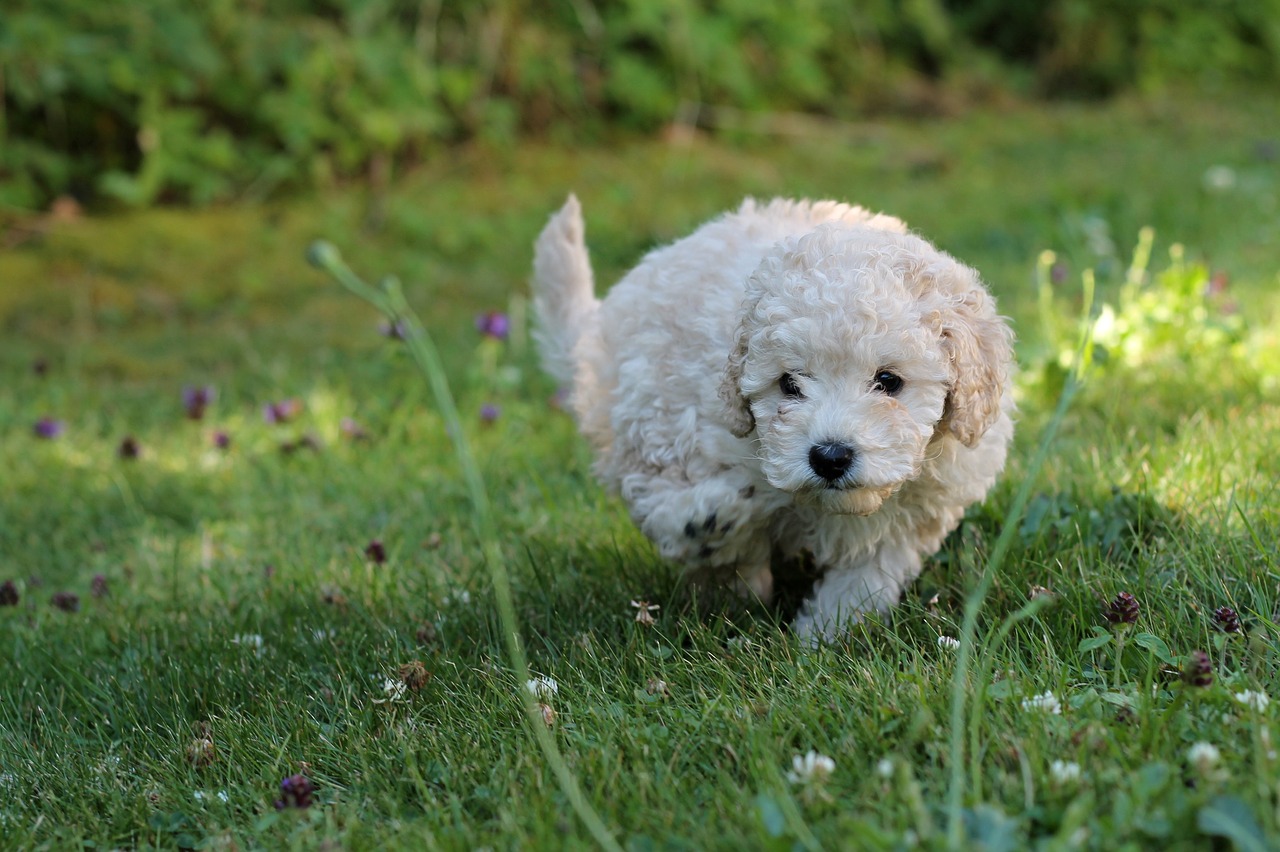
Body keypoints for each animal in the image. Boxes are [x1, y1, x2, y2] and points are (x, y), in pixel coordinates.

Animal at [529, 194, 1008, 644]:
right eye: (788, 383)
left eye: (888, 381)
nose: (830, 457)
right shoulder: (683, 432)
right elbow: (677, 514)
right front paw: (710, 529)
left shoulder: (915, 512)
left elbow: (865, 577)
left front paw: (826, 636)